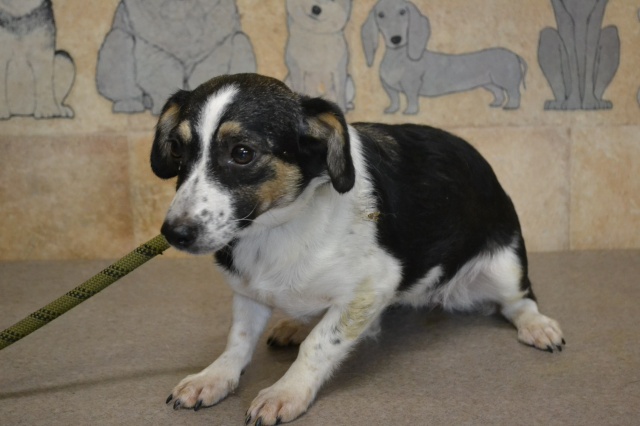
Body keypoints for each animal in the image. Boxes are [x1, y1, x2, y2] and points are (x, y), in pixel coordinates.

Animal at [96, 0, 256, 115]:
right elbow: (164, 80)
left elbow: (203, 76)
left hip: (242, 41)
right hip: (116, 39)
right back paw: (129, 105)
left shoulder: (215, 48)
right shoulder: (155, 50)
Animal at [151, 73, 565, 425]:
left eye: (242, 153)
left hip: (505, 267)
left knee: (520, 301)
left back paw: (538, 326)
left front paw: (286, 392)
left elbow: (319, 345)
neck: (278, 229)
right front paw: (212, 377)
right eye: (178, 149)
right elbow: (238, 340)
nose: (174, 233)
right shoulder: (247, 290)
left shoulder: (371, 288)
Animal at [361, 0, 526, 114]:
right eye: (380, 15)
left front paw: (410, 112)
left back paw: (511, 106)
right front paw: (391, 110)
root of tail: (515, 54)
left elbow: (411, 98)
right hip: (489, 83)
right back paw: (496, 104)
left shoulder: (411, 85)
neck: (398, 58)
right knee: (499, 93)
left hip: (506, 80)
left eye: (403, 12)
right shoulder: (388, 87)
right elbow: (394, 99)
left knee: (514, 93)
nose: (396, 39)